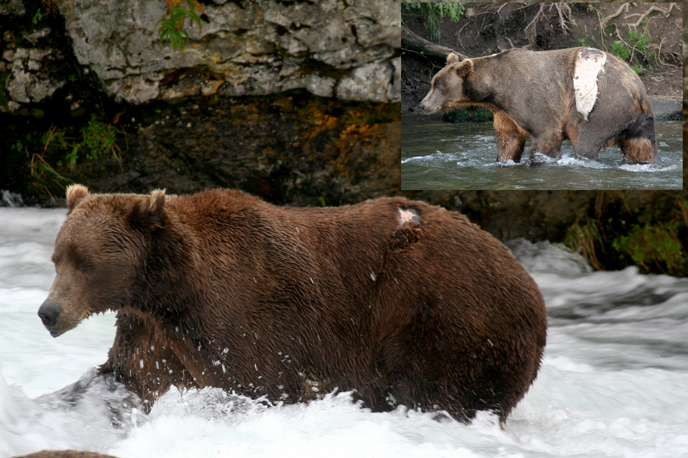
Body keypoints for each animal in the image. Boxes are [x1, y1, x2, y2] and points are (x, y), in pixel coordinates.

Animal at [40, 185, 552, 426]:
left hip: (449, 327)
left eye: (86, 262)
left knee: (441, 394)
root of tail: (533, 289)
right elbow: (127, 377)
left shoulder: (245, 320)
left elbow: (260, 384)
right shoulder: (157, 332)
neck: (173, 290)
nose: (48, 312)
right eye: (57, 257)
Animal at [420, 46, 660, 164]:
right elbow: (508, 141)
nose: (422, 105)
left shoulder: (528, 97)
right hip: (639, 123)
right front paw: (503, 160)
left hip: (601, 106)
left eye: (438, 85)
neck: (495, 89)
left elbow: (547, 133)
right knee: (640, 146)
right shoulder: (504, 112)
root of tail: (638, 89)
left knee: (585, 140)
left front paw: (538, 160)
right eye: (433, 82)